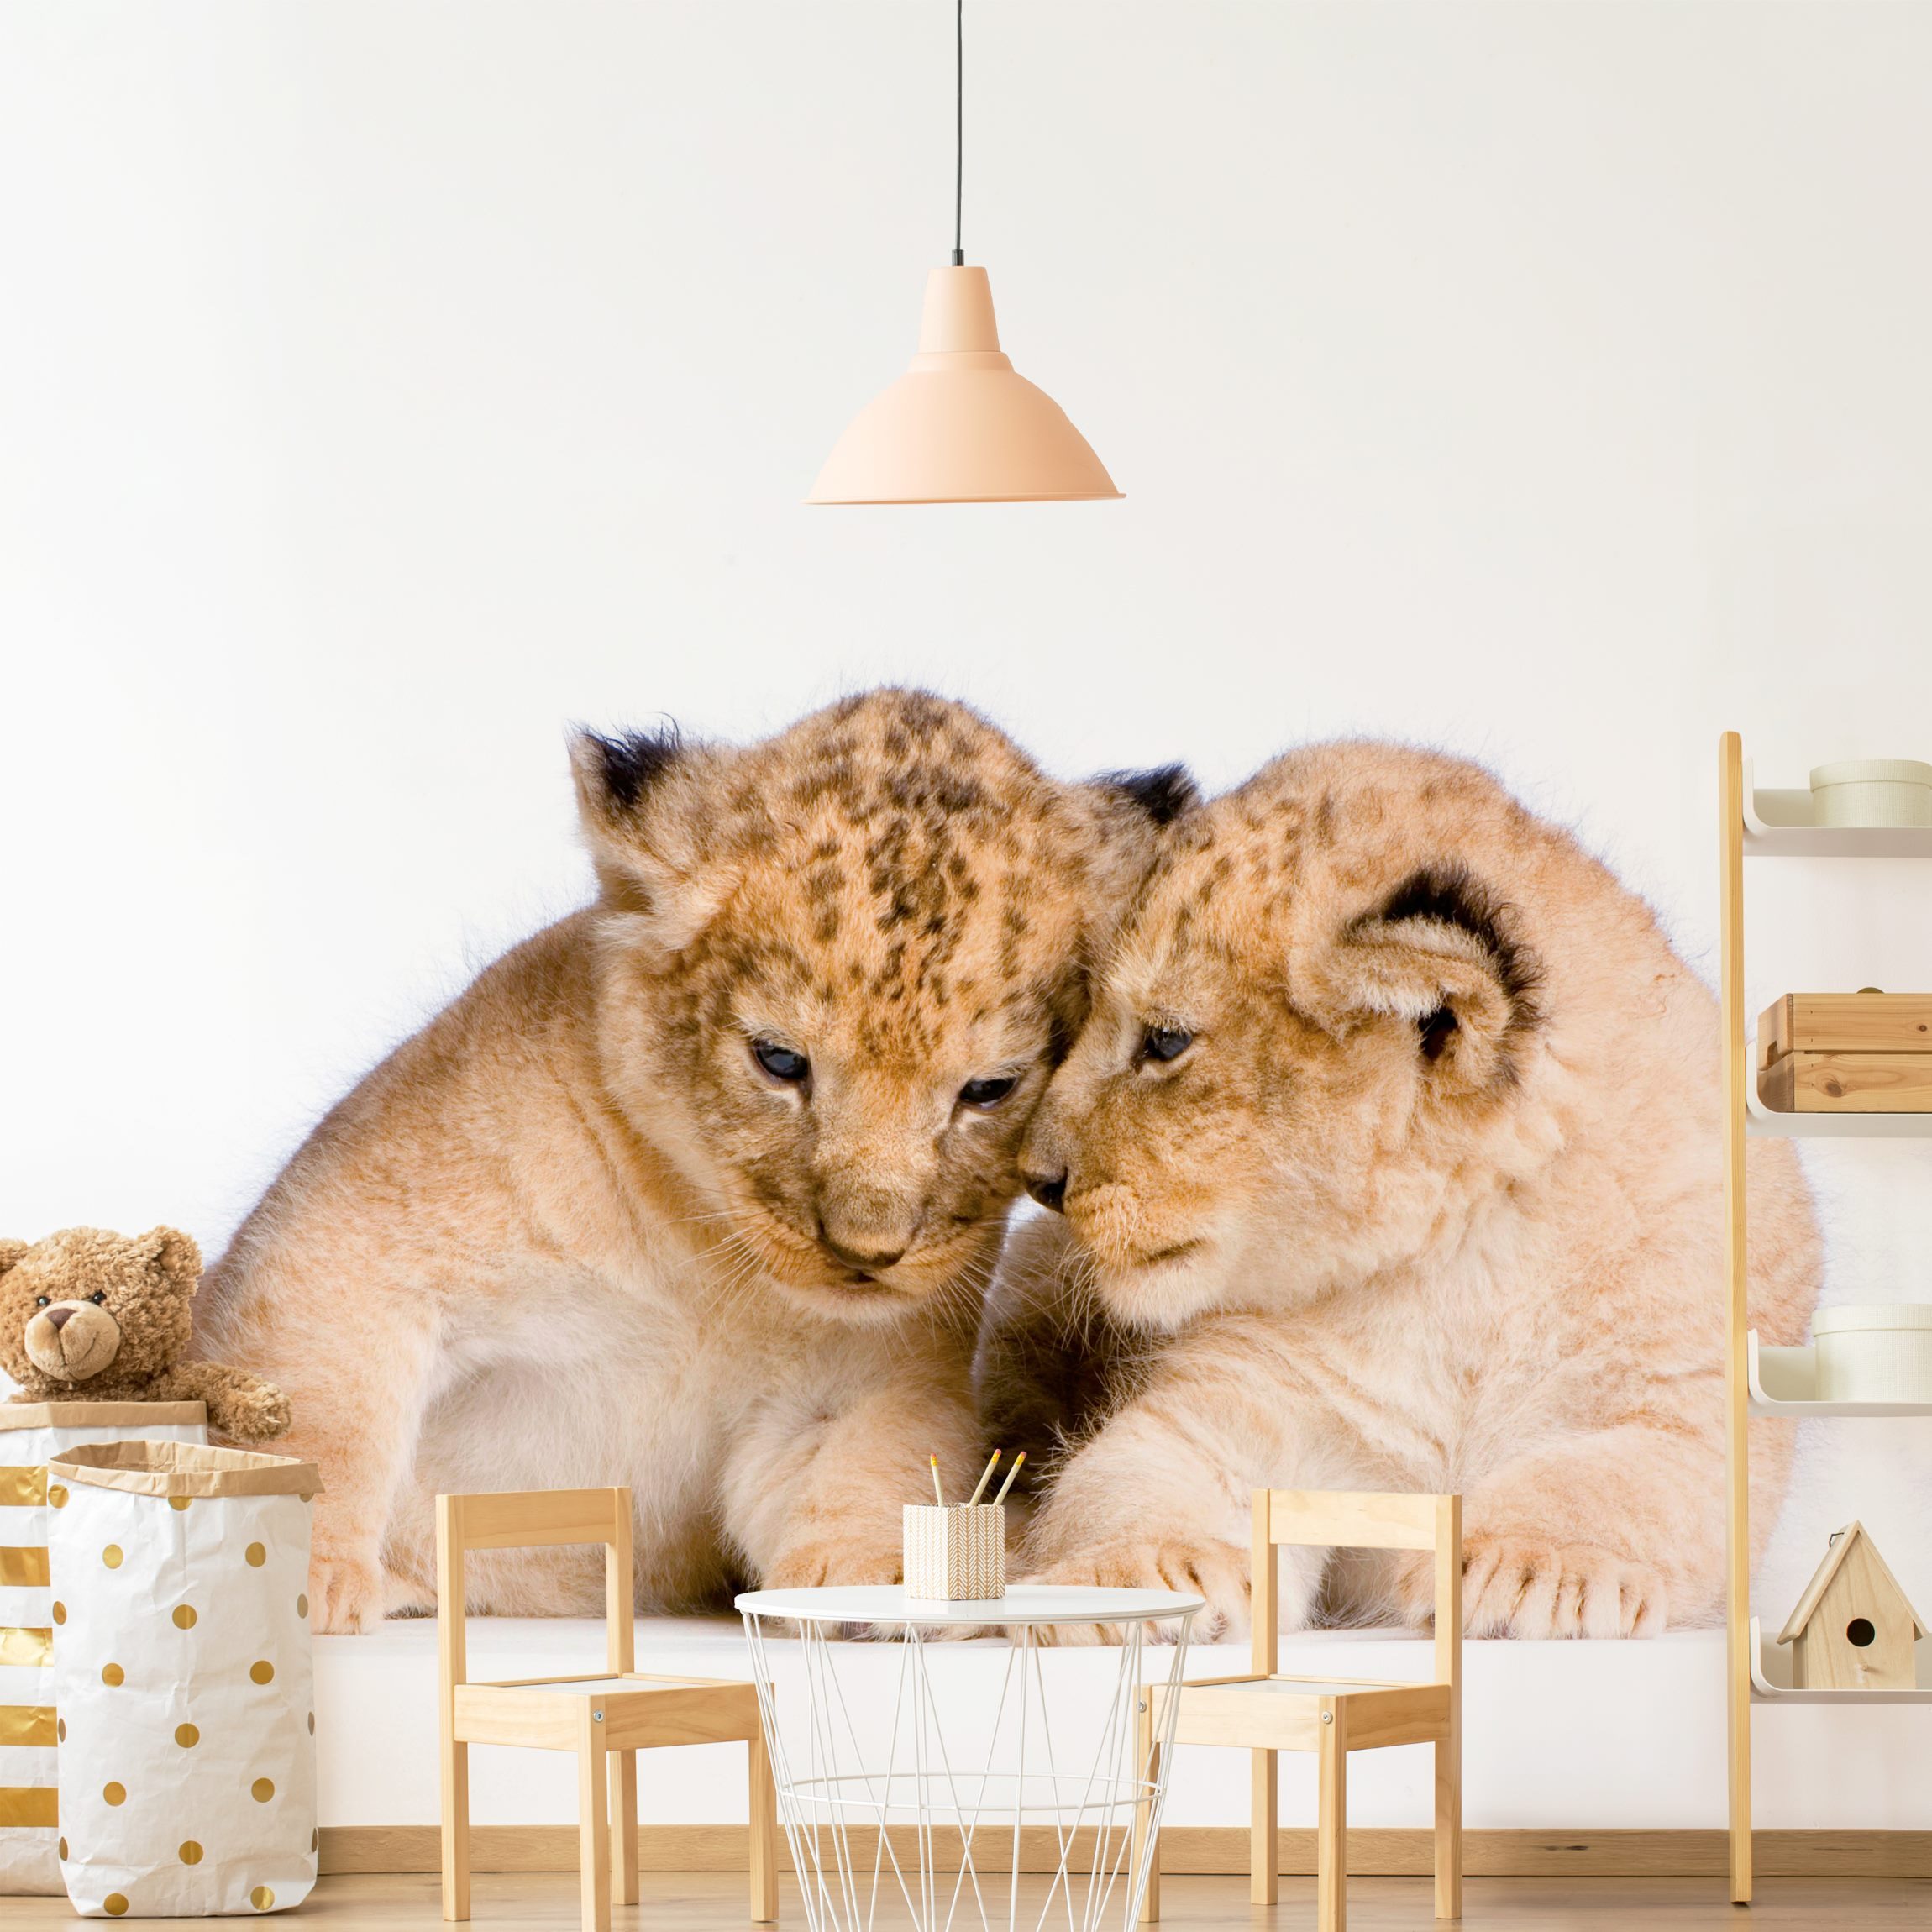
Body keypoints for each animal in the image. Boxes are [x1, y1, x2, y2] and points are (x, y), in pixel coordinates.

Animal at [197, 689, 1194, 1631]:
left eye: (988, 1088)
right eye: (779, 1061)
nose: (865, 1252)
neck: (707, 1258)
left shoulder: (853, 1385)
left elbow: (876, 1459)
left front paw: (880, 1579)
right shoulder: (346, 1243)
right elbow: (319, 1415)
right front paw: (294, 1581)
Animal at [976, 739, 1820, 1642]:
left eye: (1165, 1042)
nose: (1039, 1180)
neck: (1468, 1258)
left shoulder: (1690, 1412)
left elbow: (1607, 1487)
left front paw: (1531, 1572)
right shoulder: (1233, 1401)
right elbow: (1126, 1481)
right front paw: (1133, 1579)